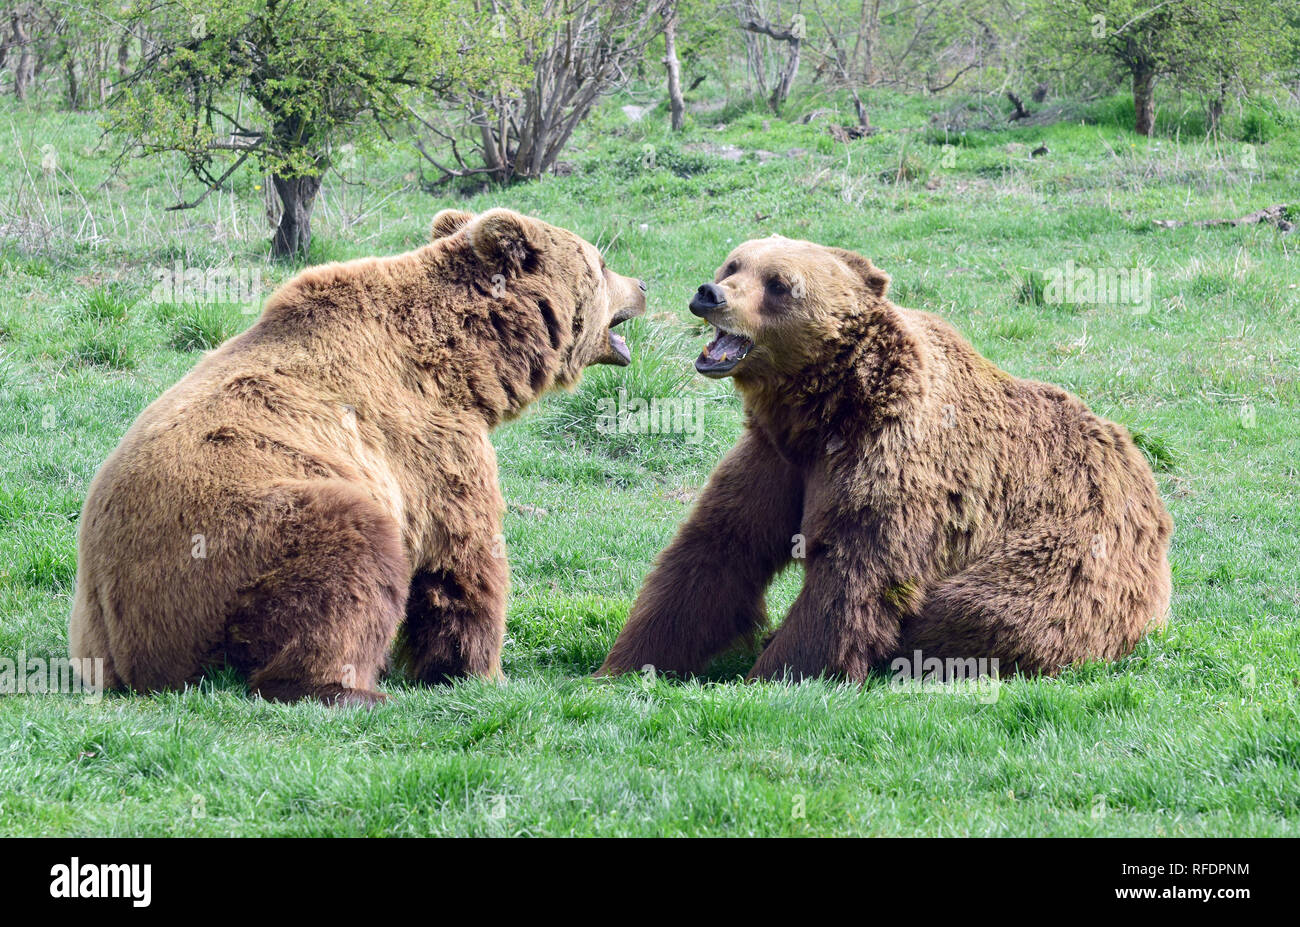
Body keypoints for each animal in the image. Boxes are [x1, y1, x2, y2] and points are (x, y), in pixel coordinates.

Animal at [68, 208, 647, 702]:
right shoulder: (431, 444)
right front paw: (480, 672)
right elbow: (461, 562)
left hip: (98, 616)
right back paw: (348, 689)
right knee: (349, 565)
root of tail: (134, 657)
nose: (643, 285)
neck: (469, 361)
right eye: (600, 261)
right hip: (242, 536)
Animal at [598, 231, 1170, 681]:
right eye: (735, 264)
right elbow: (716, 550)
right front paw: (625, 663)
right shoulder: (776, 459)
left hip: (1074, 552)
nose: (709, 293)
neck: (822, 413)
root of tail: (1143, 476)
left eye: (779, 283)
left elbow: (855, 571)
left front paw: (781, 670)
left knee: (985, 609)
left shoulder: (892, 459)